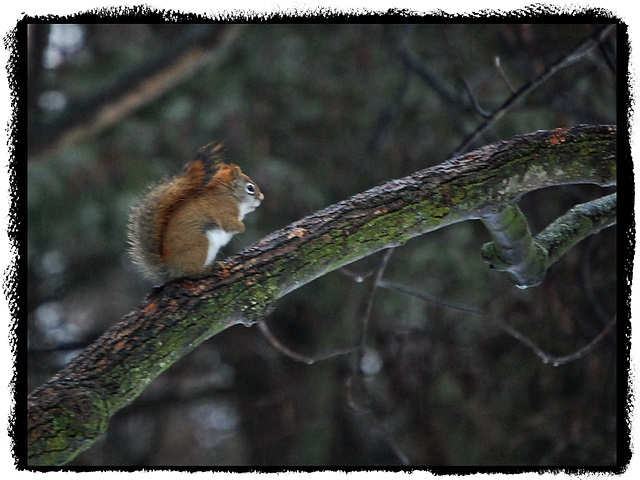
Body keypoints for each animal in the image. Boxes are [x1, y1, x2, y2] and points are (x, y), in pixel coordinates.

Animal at [129, 144, 264, 284]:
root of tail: (170, 269)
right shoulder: (224, 210)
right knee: (193, 273)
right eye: (250, 188)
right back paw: (209, 269)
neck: (230, 195)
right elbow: (229, 225)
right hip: (200, 245)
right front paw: (242, 227)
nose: (262, 198)